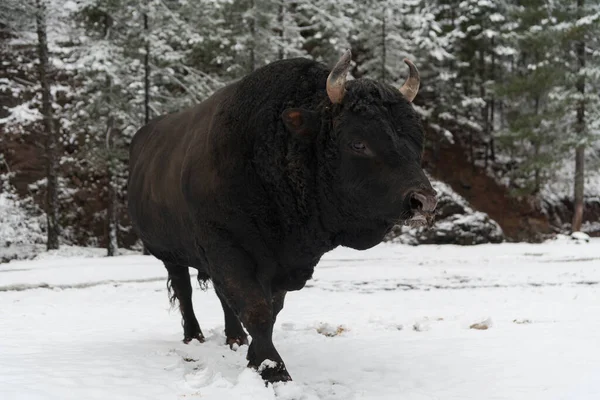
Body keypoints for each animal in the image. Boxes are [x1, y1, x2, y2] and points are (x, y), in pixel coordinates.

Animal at [127, 50, 436, 382]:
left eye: (417, 140)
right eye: (358, 142)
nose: (424, 202)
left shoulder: (281, 264)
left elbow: (269, 310)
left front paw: (254, 356)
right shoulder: (227, 249)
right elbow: (256, 310)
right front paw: (273, 370)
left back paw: (235, 338)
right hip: (171, 254)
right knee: (184, 291)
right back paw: (193, 336)